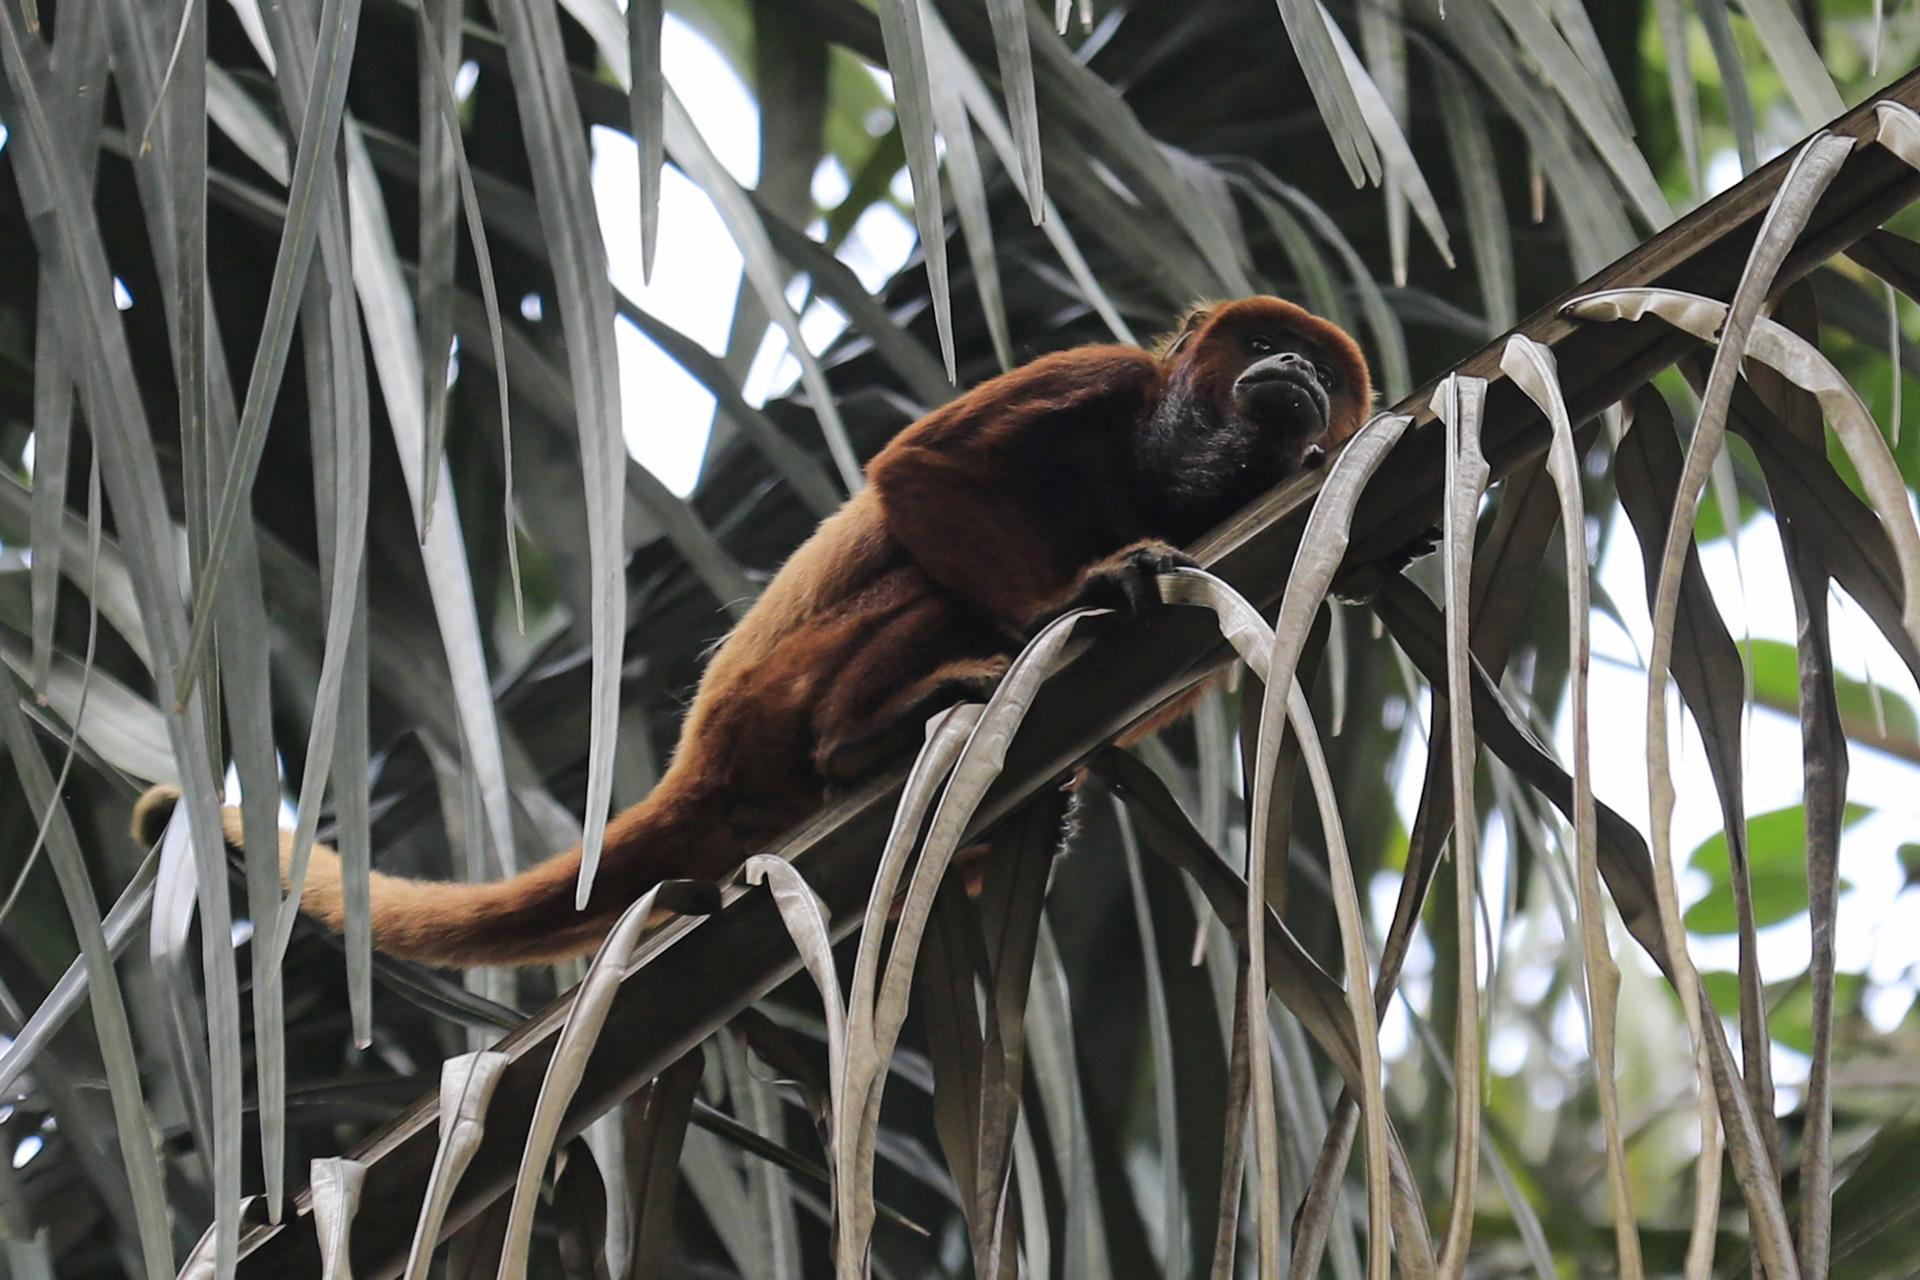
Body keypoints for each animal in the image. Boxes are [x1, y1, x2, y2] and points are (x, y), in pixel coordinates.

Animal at [131, 297, 1367, 959]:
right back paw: (871, 733)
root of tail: (701, 755)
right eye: (1265, 341)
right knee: (927, 589)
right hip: (775, 701)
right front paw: (1060, 603)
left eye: (1321, 368)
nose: (1295, 364)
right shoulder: (1103, 375)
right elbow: (921, 471)